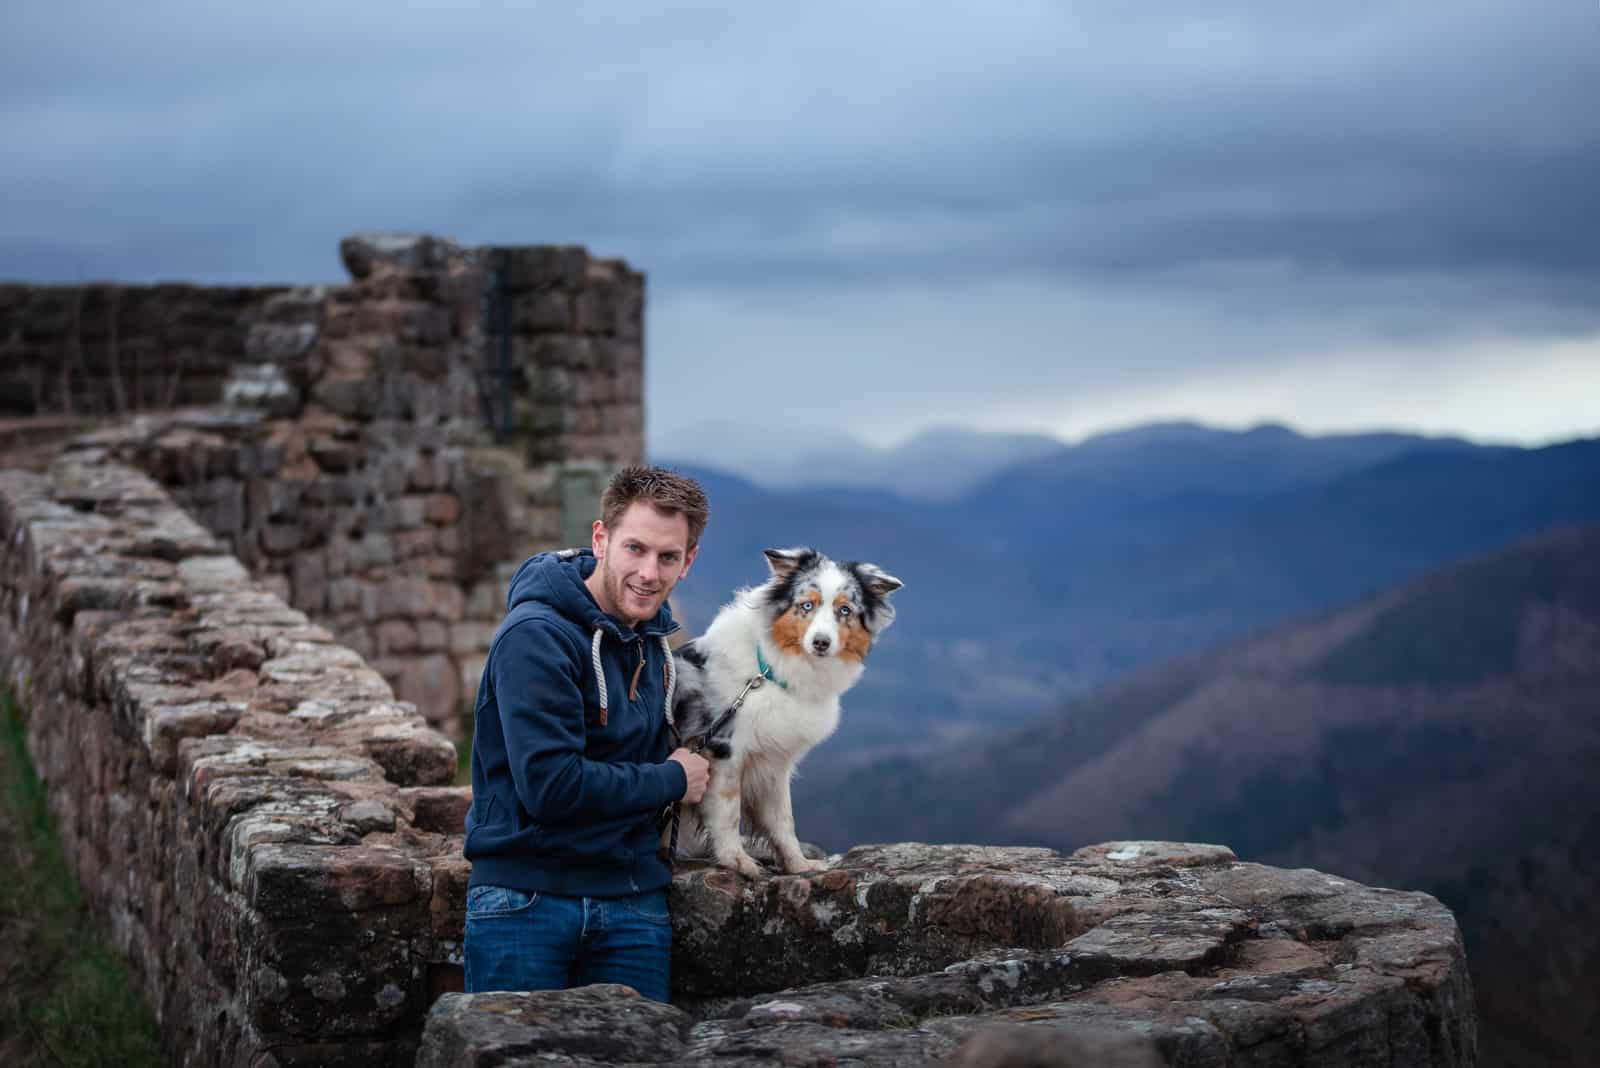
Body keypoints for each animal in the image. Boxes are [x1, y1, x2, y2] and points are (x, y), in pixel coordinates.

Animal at [668, 546, 908, 882]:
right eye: (807, 605)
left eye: (845, 610)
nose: (821, 642)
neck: (768, 671)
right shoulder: (725, 751)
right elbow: (728, 812)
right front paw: (736, 861)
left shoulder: (774, 761)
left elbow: (783, 819)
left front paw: (799, 865)